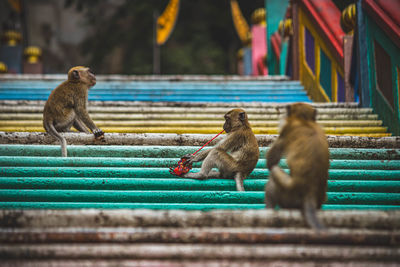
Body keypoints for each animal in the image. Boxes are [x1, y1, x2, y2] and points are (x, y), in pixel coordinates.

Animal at [264, 102, 330, 230]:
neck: (304, 121)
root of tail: (310, 192)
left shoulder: (285, 131)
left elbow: (271, 162)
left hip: (287, 196)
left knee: (274, 172)